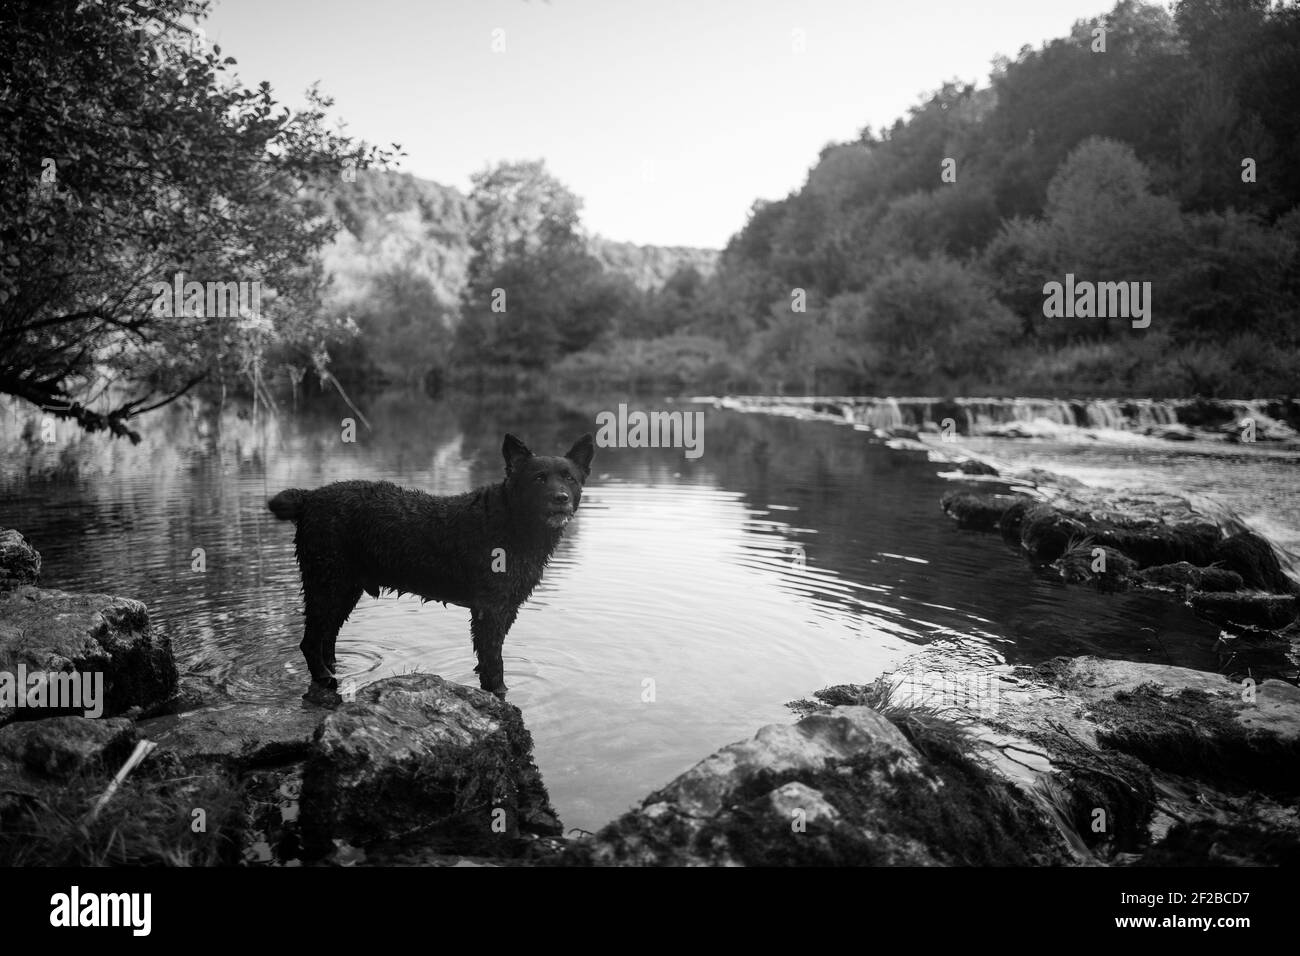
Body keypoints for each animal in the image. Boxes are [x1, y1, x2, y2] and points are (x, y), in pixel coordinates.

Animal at [269, 431, 595, 697]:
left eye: (570, 478)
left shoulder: (506, 608)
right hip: (327, 583)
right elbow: (494, 663)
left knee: (327, 639)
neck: (511, 521)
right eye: (539, 478)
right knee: (310, 642)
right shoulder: (489, 611)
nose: (561, 498)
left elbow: (489, 661)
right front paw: (498, 691)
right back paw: (325, 679)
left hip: (344, 589)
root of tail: (309, 498)